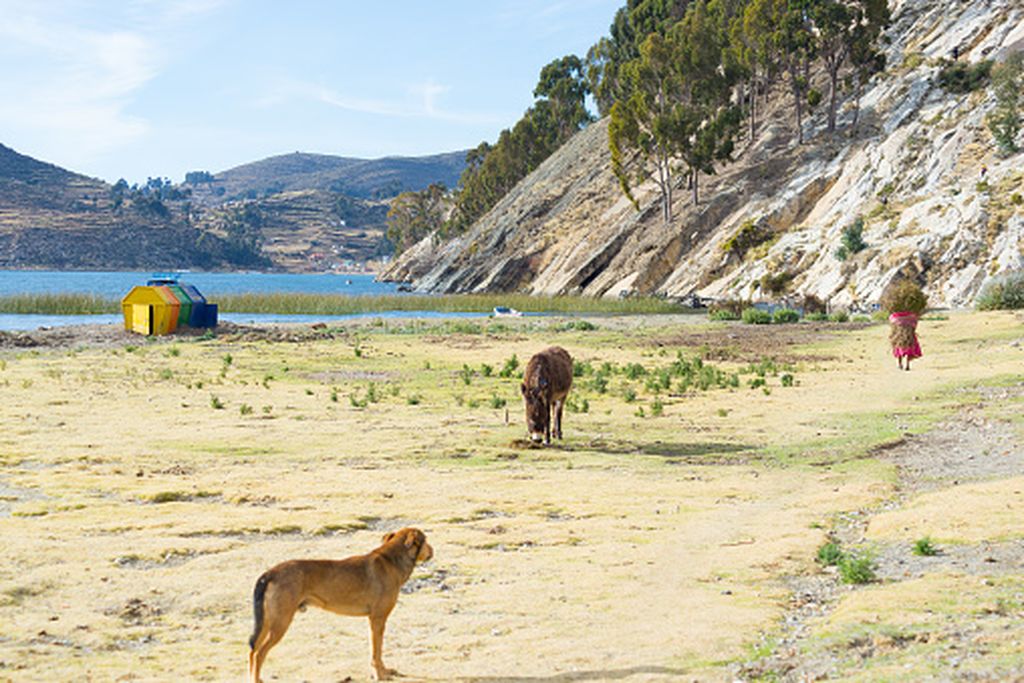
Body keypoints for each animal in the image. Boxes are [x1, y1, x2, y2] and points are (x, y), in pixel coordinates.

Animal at [251, 528, 436, 683]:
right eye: (426, 539)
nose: (433, 550)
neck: (392, 561)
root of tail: (270, 573)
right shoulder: (378, 619)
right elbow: (377, 650)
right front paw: (380, 674)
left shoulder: (375, 620)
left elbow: (377, 650)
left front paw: (384, 671)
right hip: (280, 622)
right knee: (260, 653)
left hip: (267, 622)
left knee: (253, 650)